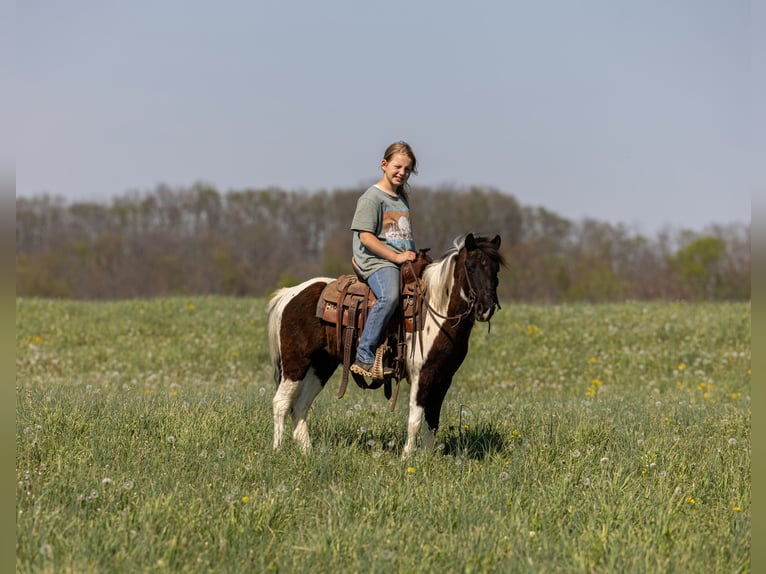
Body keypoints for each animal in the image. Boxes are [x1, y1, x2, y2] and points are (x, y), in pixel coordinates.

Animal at [267, 233, 503, 454]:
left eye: (496, 270)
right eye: (470, 267)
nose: (486, 308)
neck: (437, 308)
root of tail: (289, 294)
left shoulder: (443, 377)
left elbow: (432, 420)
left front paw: (427, 457)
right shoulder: (421, 374)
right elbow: (415, 420)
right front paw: (407, 457)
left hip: (321, 365)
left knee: (300, 405)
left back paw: (307, 451)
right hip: (296, 362)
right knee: (281, 402)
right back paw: (278, 449)